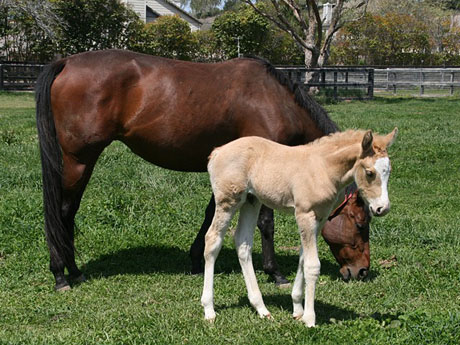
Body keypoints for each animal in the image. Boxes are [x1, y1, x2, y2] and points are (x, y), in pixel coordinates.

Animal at [34, 48, 366, 290]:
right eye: (361, 223)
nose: (361, 272)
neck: (274, 100)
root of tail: (66, 62)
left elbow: (211, 214)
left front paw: (196, 259)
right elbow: (266, 223)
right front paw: (276, 274)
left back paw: (72, 272)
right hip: (79, 160)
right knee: (64, 213)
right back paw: (63, 274)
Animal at [201, 128, 398, 326]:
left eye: (388, 171)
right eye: (370, 172)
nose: (383, 208)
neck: (323, 168)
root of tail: (217, 151)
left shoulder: (320, 218)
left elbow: (303, 258)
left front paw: (297, 309)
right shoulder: (305, 214)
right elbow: (312, 265)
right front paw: (310, 319)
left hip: (251, 200)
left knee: (242, 242)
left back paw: (261, 308)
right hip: (228, 200)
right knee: (212, 240)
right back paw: (209, 309)